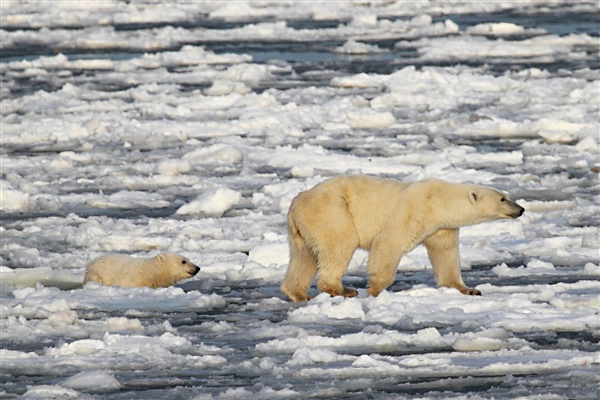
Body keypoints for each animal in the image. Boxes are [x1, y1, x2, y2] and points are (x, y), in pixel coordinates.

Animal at [278, 177, 524, 302]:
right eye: (503, 199)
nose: (521, 209)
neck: (440, 201)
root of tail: (297, 202)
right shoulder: (415, 210)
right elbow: (388, 243)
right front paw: (375, 290)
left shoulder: (442, 227)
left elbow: (446, 254)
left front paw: (469, 289)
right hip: (332, 212)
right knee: (339, 244)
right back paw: (343, 290)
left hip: (303, 227)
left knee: (304, 257)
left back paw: (298, 293)